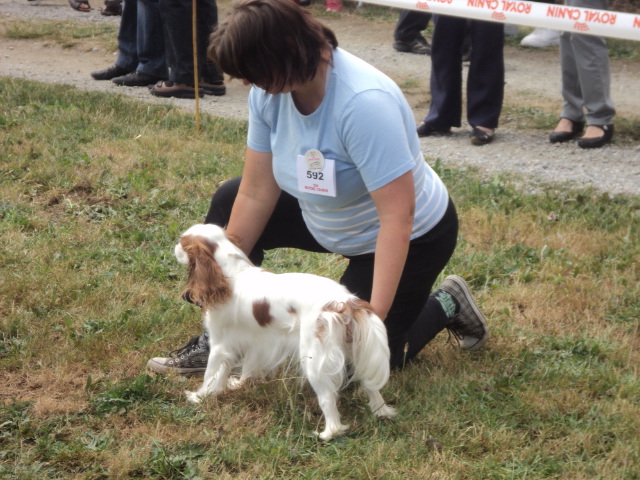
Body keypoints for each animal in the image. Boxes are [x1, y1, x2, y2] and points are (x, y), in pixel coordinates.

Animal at [175, 223, 396, 440]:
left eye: (182, 242)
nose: (175, 247)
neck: (230, 274)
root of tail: (346, 302)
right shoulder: (254, 340)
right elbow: (243, 367)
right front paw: (236, 385)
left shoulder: (220, 344)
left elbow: (211, 374)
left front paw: (199, 396)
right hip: (354, 348)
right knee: (370, 385)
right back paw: (381, 411)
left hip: (314, 359)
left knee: (327, 399)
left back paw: (327, 433)